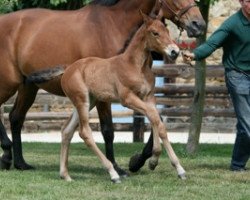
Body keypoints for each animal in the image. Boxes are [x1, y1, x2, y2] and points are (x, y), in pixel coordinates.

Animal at [26, 13, 186, 183]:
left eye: (167, 31)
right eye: (155, 33)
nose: (174, 51)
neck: (136, 66)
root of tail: (68, 69)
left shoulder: (149, 97)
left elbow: (157, 121)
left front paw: (162, 163)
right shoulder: (127, 99)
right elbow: (154, 118)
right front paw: (163, 163)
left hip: (89, 101)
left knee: (67, 130)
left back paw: (65, 174)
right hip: (82, 101)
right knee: (84, 132)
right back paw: (113, 173)